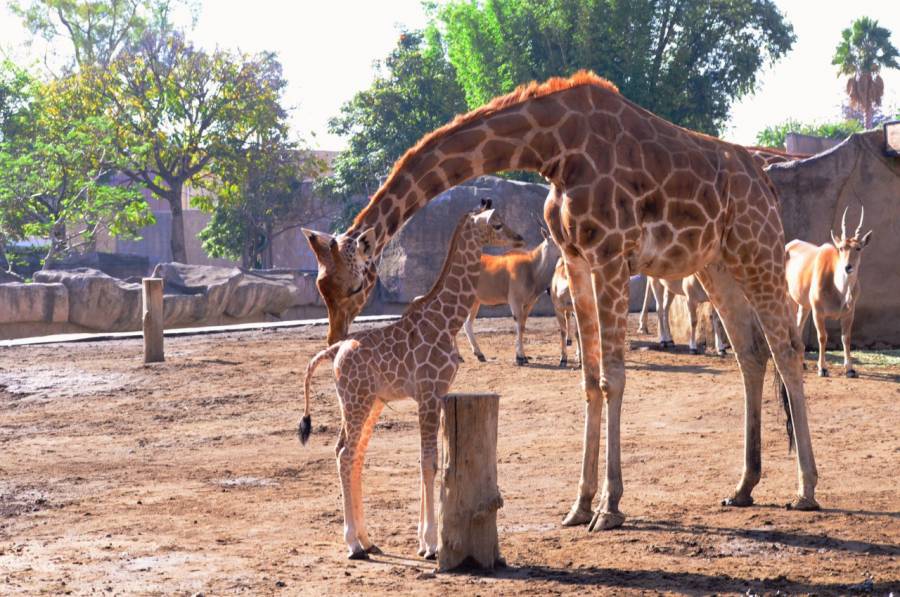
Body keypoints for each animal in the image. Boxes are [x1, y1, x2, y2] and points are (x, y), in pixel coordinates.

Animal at [299, 201, 523, 560]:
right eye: (498, 224)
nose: (520, 238)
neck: (446, 320)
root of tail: (335, 351)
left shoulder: (440, 394)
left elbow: (431, 461)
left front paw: (423, 542)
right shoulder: (428, 392)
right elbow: (428, 462)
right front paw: (431, 544)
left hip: (369, 402)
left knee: (351, 454)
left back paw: (367, 539)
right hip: (356, 401)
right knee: (346, 453)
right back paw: (353, 544)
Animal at [304, 71, 820, 531]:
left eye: (355, 287)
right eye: (321, 287)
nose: (334, 343)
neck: (553, 150)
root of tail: (767, 181)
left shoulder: (611, 254)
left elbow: (613, 378)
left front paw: (610, 508)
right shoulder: (577, 259)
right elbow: (589, 380)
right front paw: (579, 504)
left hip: (758, 247)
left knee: (787, 349)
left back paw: (805, 490)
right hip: (717, 263)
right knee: (750, 354)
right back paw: (743, 487)